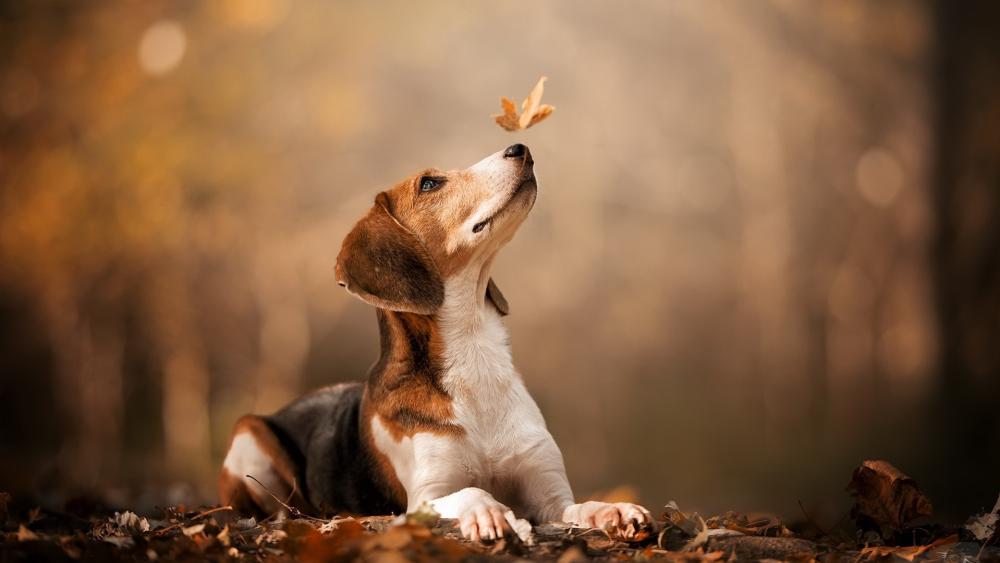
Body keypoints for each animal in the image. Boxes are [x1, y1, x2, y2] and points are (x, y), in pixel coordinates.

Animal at [221, 144, 656, 540]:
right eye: (429, 183)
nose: (520, 147)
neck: (474, 350)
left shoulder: (550, 495)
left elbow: (581, 506)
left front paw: (614, 510)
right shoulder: (426, 496)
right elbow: (472, 491)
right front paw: (488, 512)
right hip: (249, 435)